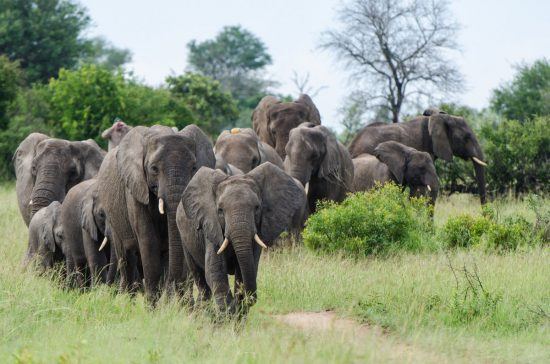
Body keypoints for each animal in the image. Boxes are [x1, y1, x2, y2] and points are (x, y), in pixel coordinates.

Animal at [97, 124, 216, 302]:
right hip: (113, 217)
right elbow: (148, 240)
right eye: (153, 169)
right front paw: (152, 305)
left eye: (194, 168)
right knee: (125, 256)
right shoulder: (135, 188)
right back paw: (127, 300)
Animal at [177, 163, 306, 316]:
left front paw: (236, 312)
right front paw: (227, 313)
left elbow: (245, 270)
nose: (252, 299)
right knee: (201, 279)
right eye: (220, 210)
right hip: (185, 240)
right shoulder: (211, 224)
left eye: (257, 208)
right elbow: (215, 271)